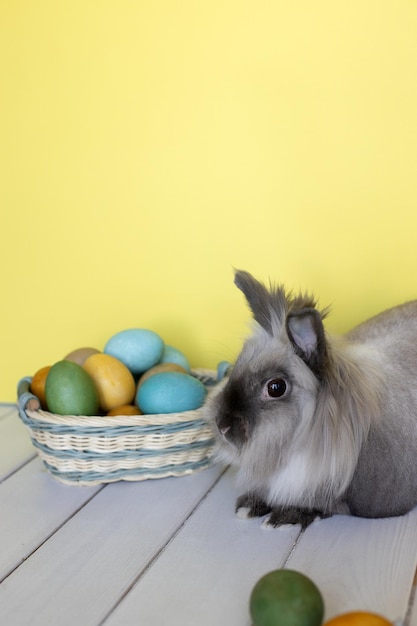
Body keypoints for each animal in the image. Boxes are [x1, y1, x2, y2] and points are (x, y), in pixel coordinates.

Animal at [206, 268, 417, 528]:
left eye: (276, 387)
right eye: (237, 366)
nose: (222, 425)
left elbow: (326, 504)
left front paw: (285, 515)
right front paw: (249, 505)